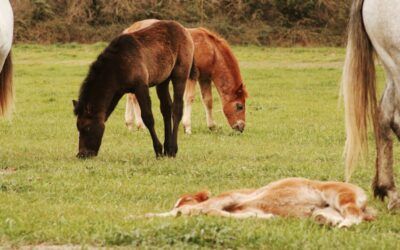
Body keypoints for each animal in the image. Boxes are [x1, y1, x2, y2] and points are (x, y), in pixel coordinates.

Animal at [74, 21, 196, 158]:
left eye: (87, 127)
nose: (81, 154)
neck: (117, 66)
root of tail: (183, 30)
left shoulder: (140, 86)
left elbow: (148, 117)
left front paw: (158, 149)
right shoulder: (118, 92)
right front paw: (161, 149)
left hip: (180, 74)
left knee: (177, 108)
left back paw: (172, 149)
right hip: (163, 80)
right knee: (166, 108)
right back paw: (167, 148)